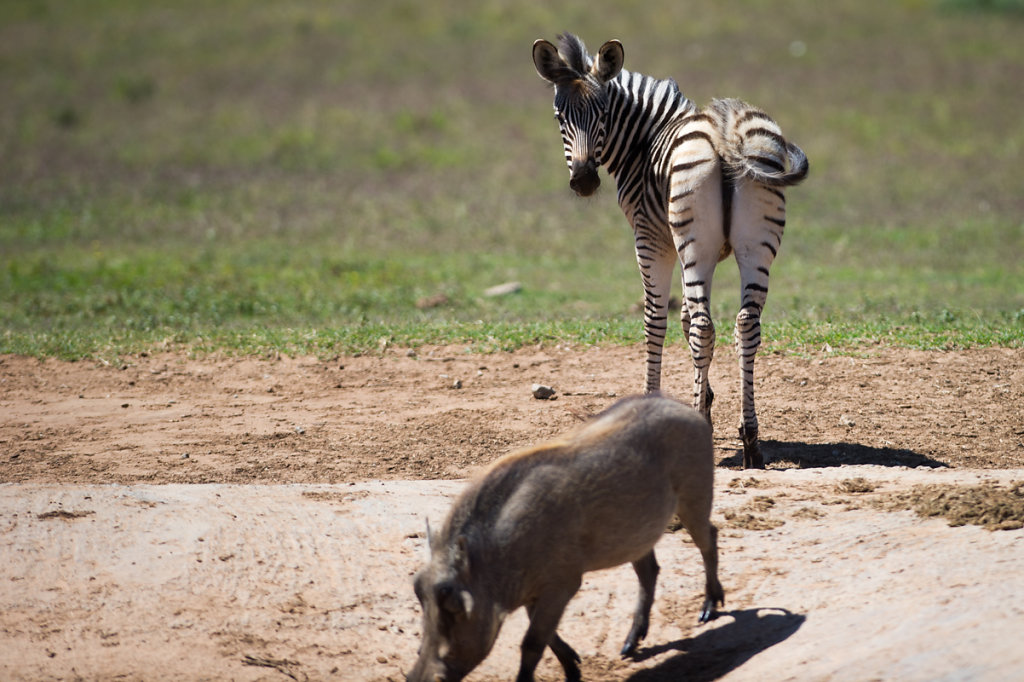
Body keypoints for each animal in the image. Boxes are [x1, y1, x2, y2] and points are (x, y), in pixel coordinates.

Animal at [528, 33, 806, 466]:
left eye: (603, 114)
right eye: (560, 118)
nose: (584, 181)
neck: (644, 140)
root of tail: (727, 133)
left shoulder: (652, 237)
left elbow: (657, 319)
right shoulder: (697, 248)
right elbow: (686, 319)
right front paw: (705, 401)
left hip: (694, 244)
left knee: (706, 326)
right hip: (756, 246)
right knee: (745, 323)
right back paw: (751, 443)